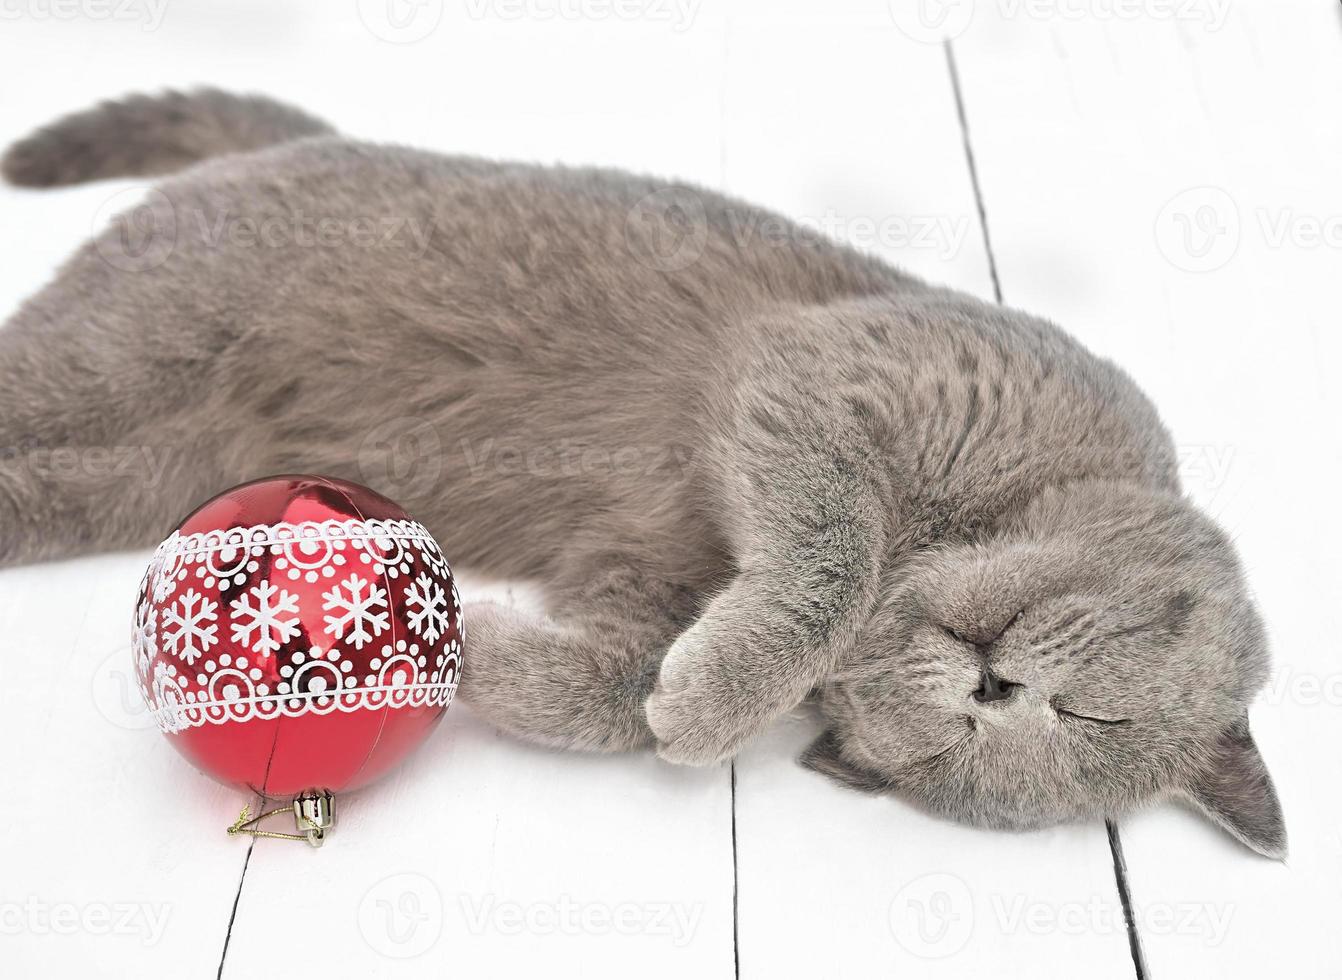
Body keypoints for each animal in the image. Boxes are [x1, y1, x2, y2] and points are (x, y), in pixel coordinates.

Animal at [0, 93, 1282, 853]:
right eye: (1097, 703)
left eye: (940, 757)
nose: (993, 686)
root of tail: (313, 138)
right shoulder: (820, 372)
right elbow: (832, 550)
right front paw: (719, 694)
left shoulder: (643, 573)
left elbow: (618, 691)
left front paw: (472, 654)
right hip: (130, 341)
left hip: (150, 467)